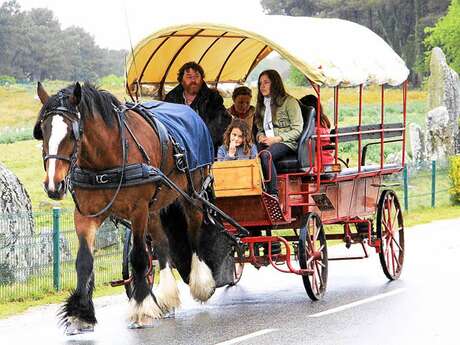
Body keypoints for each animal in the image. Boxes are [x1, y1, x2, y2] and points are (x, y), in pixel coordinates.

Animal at [32, 82, 235, 332]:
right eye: (42, 131)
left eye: (72, 132)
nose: (54, 185)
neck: (106, 160)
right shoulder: (86, 214)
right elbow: (84, 262)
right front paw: (81, 313)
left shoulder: (138, 210)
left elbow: (138, 257)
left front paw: (140, 308)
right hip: (156, 205)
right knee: (162, 244)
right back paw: (166, 296)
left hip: (192, 195)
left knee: (194, 234)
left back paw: (201, 285)